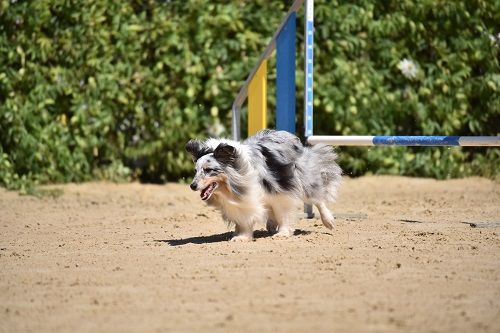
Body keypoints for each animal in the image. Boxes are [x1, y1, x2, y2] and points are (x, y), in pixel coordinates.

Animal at [186, 128, 342, 240]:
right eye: (195, 170)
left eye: (208, 170)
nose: (192, 186)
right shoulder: (245, 199)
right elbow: (245, 218)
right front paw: (242, 236)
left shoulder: (280, 191)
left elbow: (282, 213)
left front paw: (283, 233)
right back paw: (271, 224)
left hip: (302, 179)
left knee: (317, 198)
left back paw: (328, 221)